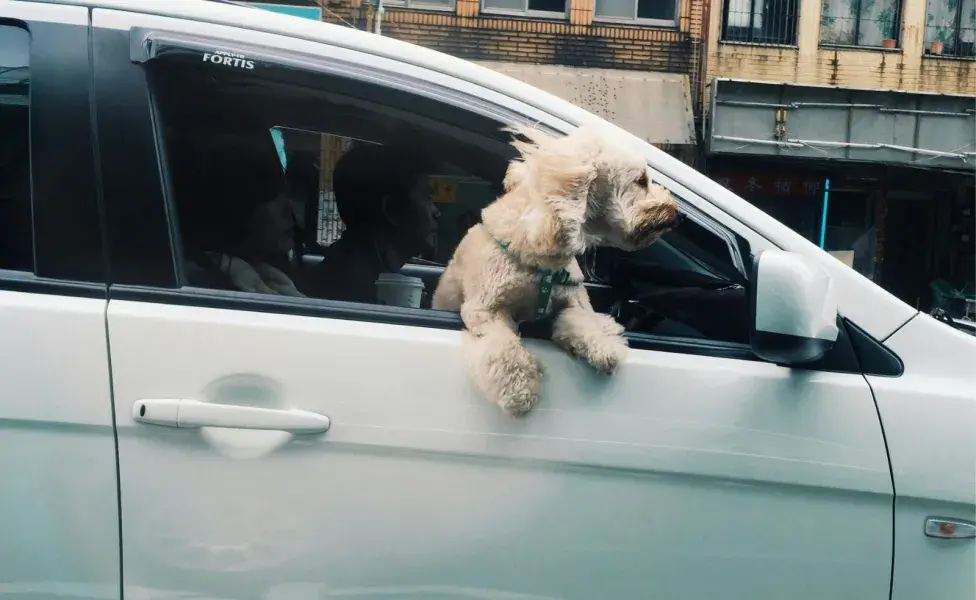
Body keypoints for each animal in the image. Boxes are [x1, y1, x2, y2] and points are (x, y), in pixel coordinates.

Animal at [430, 125, 684, 418]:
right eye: (641, 181)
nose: (678, 214)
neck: (543, 263)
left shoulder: (573, 302)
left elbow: (583, 322)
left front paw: (604, 346)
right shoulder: (486, 311)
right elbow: (505, 348)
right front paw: (520, 390)